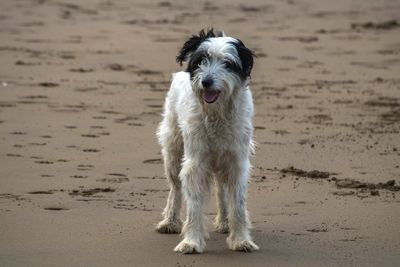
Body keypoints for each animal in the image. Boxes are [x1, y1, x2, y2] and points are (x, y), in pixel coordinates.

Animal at [156, 28, 260, 254]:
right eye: (201, 60)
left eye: (227, 63)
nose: (206, 82)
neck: (217, 115)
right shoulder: (195, 162)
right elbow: (193, 205)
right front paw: (191, 242)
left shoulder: (237, 162)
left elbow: (238, 205)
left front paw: (241, 240)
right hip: (173, 150)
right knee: (175, 188)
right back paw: (170, 221)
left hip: (222, 161)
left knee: (221, 190)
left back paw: (224, 222)